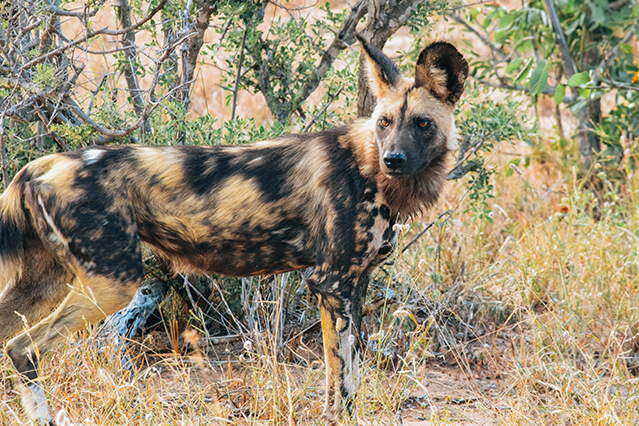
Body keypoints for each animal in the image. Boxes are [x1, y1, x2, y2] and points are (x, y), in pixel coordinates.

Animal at [1, 35, 470, 424]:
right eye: (384, 122)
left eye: (422, 123)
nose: (393, 159)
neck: (369, 167)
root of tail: (43, 163)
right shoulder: (333, 283)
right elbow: (345, 381)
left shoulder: (346, 286)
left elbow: (342, 373)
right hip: (113, 283)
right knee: (25, 348)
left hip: (48, 283)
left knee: (12, 341)